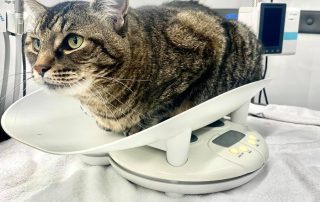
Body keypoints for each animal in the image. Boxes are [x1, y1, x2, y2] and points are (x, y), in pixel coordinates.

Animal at [25, 0, 262, 136]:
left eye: (74, 41)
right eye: (36, 43)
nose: (39, 68)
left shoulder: (205, 54)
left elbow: (167, 105)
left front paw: (138, 126)